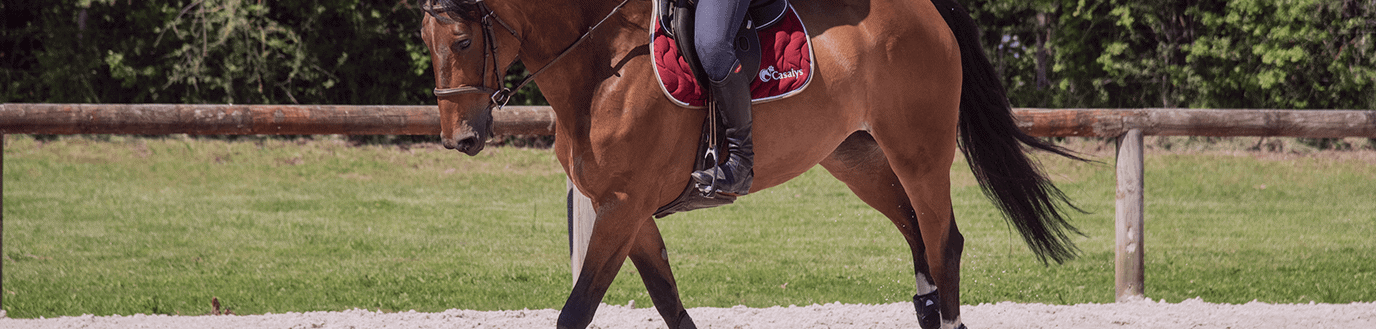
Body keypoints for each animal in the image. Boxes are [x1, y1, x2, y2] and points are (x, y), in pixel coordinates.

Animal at [412, 0, 1078, 327]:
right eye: (426, 42)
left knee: (943, 244)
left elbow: (577, 311)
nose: (459, 138)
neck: (603, 62)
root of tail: (926, 12)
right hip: (858, 159)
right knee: (919, 242)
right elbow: (670, 303)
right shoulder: (628, 212)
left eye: (464, 41)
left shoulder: (623, 208)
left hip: (920, 152)